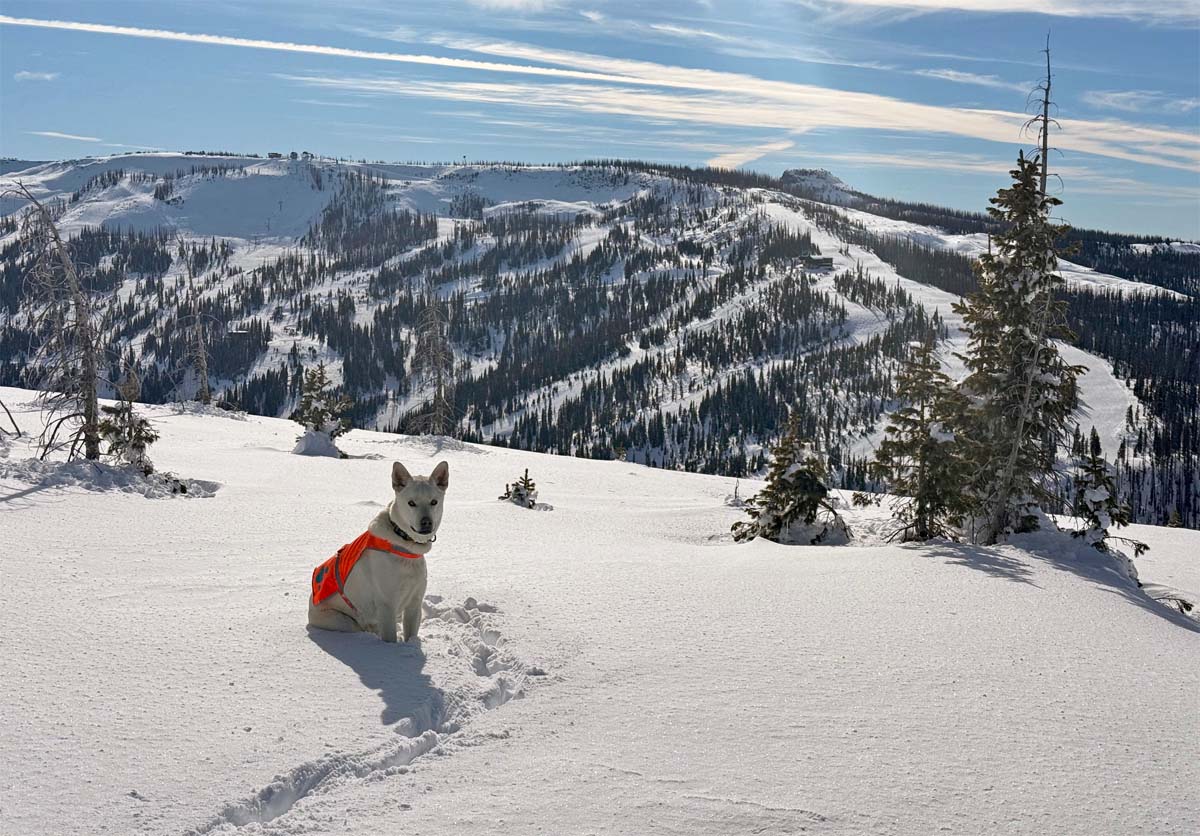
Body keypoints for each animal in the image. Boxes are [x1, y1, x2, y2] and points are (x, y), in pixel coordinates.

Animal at [308, 461, 449, 642]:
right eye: (411, 503)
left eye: (434, 502)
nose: (426, 523)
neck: (404, 544)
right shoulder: (387, 605)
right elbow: (390, 638)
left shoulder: (414, 604)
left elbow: (411, 635)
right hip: (345, 622)